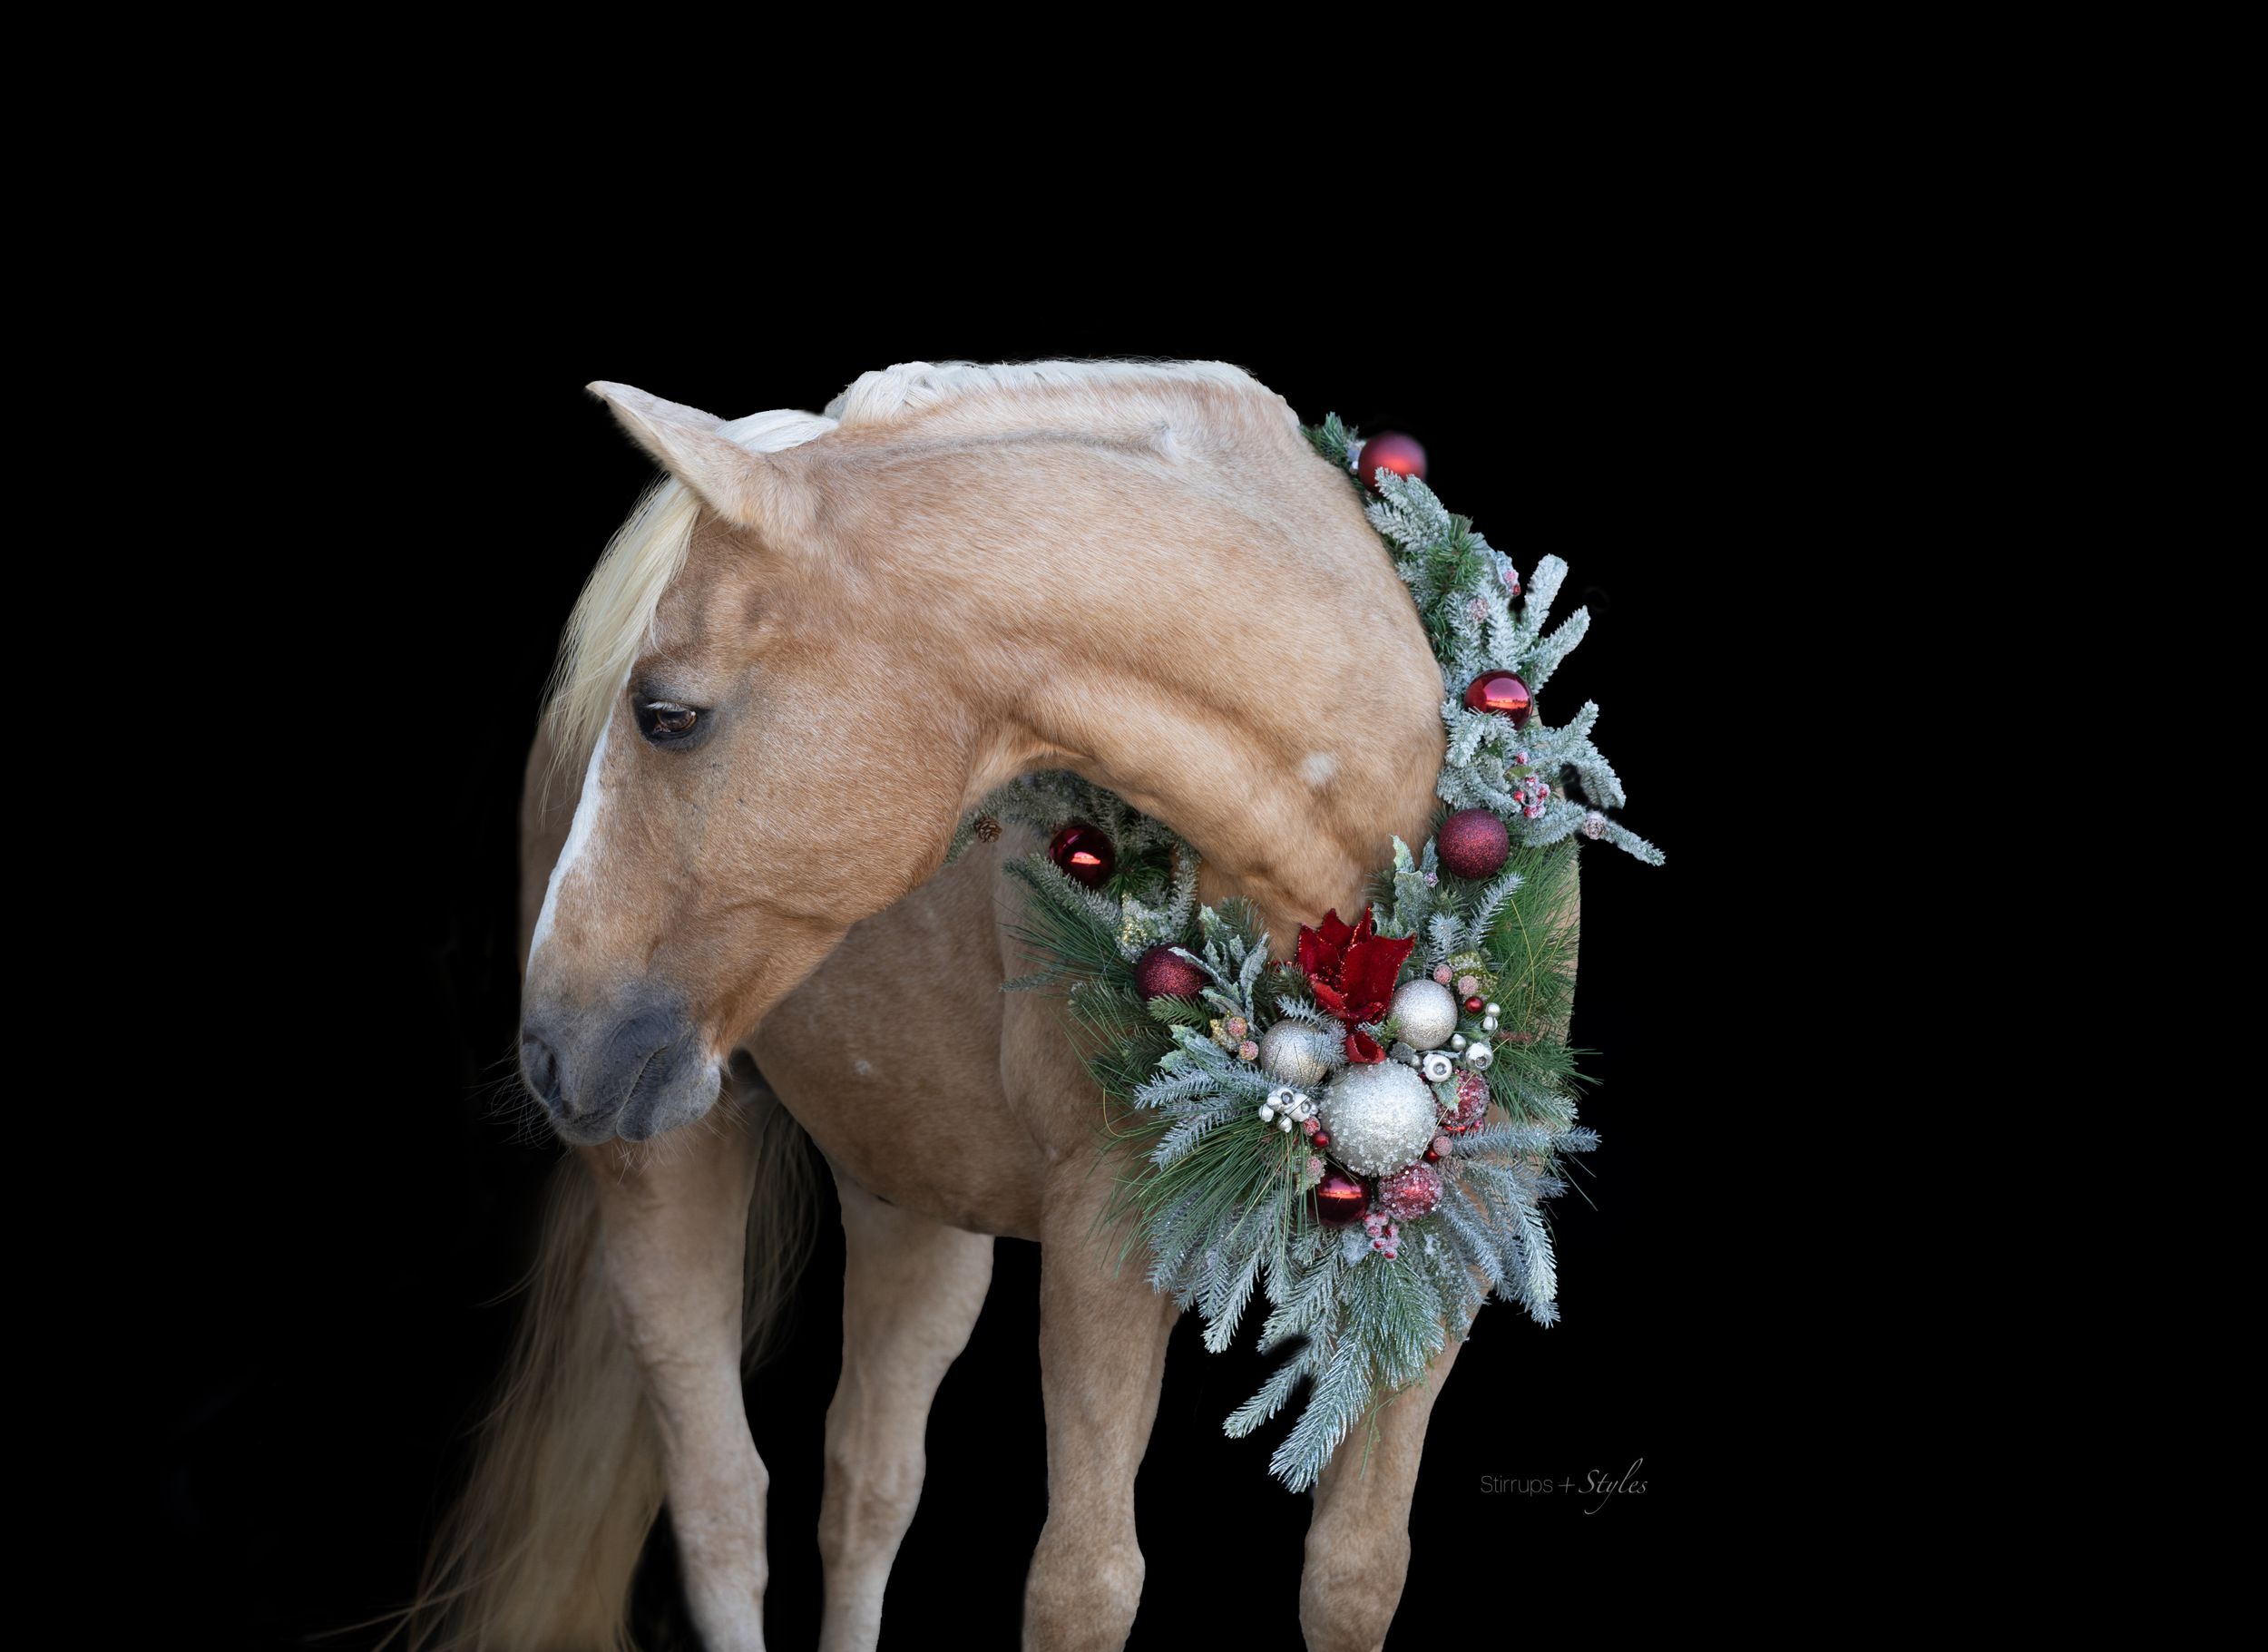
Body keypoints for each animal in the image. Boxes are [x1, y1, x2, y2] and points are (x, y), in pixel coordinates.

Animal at [400, 358, 1575, 1651]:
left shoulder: (1455, 1235)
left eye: (666, 714)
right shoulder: (1107, 1237)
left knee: (865, 1487)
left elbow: (1354, 1576)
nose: (551, 1044)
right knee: (720, 1509)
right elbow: (1083, 1585)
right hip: (664, 1168)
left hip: (910, 1192)